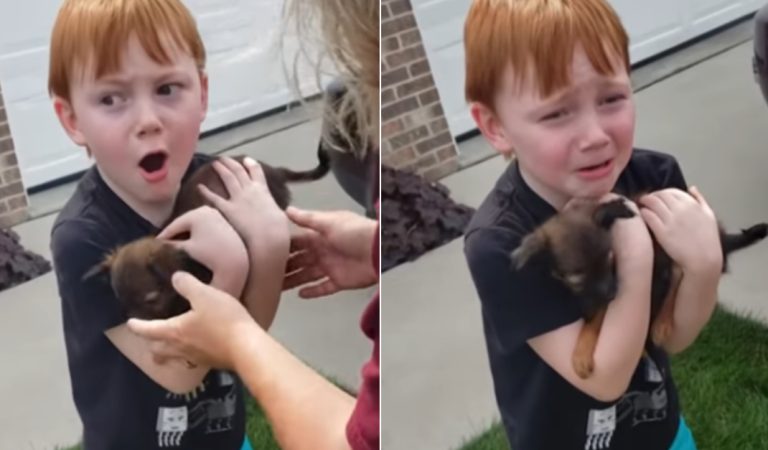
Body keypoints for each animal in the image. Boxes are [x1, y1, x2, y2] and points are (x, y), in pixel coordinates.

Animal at [510, 197, 768, 380]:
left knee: (676, 278)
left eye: (610, 259)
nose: (613, 294)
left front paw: (581, 354)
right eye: (577, 278)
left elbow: (595, 320)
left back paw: (661, 324)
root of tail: (720, 235)